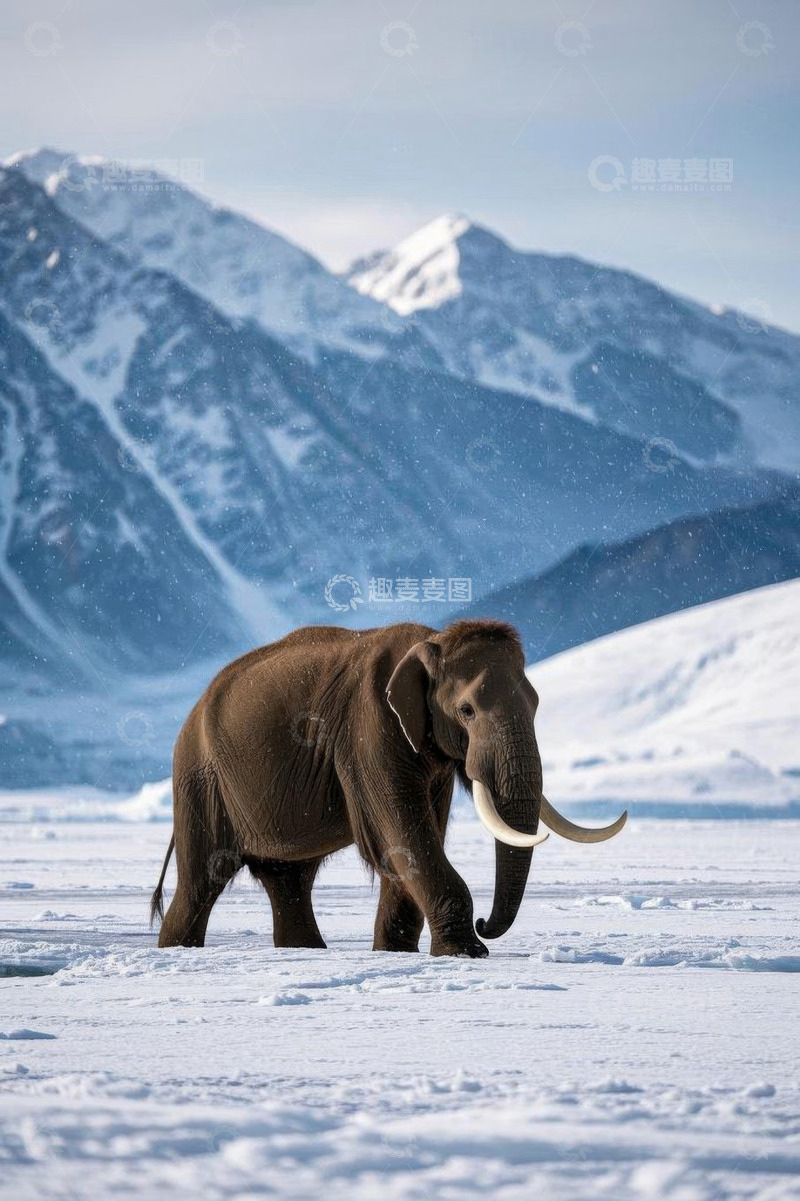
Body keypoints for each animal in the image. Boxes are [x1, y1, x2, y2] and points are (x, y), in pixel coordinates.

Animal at [151, 619, 626, 957]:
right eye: (467, 710)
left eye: (538, 703)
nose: (485, 926)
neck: (432, 641)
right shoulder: (370, 730)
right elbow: (402, 830)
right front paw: (466, 953)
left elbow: (418, 834)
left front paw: (394, 952)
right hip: (199, 777)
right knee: (203, 879)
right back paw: (177, 949)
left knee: (288, 880)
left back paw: (306, 950)